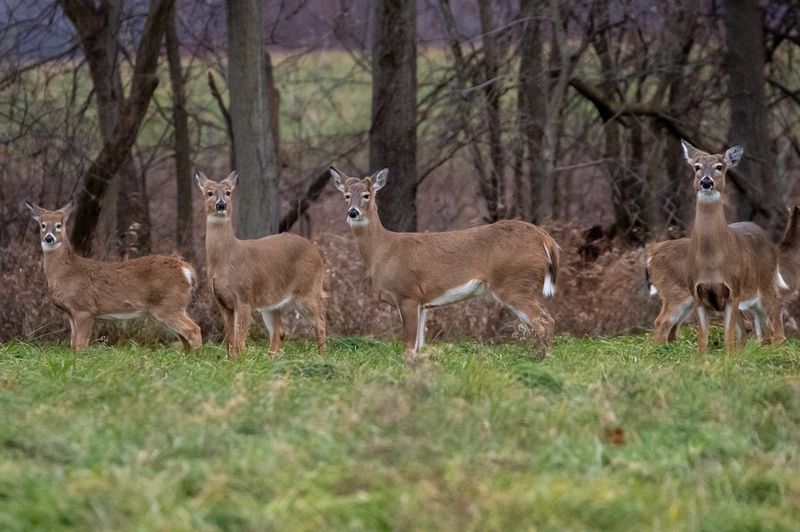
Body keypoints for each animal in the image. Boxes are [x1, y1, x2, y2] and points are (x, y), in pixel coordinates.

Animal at [25, 201, 202, 351]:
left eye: (59, 225)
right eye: (42, 225)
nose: (49, 238)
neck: (66, 272)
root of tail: (186, 270)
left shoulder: (85, 309)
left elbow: (80, 344)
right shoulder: (71, 313)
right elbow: (73, 344)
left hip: (169, 305)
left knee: (193, 329)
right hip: (169, 308)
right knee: (184, 336)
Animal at [196, 171, 326, 357]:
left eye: (228, 192)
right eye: (209, 192)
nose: (221, 205)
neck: (227, 259)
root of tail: (315, 250)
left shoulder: (244, 297)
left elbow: (239, 339)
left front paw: (240, 359)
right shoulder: (222, 302)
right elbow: (229, 338)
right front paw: (230, 360)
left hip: (308, 289)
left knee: (320, 322)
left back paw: (321, 356)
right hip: (273, 302)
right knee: (279, 332)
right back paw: (271, 358)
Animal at [330, 166, 560, 362]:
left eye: (366, 195)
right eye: (347, 195)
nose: (353, 212)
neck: (383, 250)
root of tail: (547, 240)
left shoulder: (407, 293)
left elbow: (408, 347)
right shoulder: (422, 302)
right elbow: (418, 346)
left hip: (515, 283)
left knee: (544, 321)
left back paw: (542, 361)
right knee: (538, 324)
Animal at [647, 206, 800, 343]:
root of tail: (654, 252)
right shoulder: (773, 298)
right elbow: (774, 333)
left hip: (687, 300)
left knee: (672, 328)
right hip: (675, 293)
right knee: (662, 322)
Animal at [681, 140, 786, 353]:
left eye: (719, 167)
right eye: (697, 167)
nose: (706, 182)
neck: (711, 261)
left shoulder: (734, 291)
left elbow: (728, 338)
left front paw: (728, 359)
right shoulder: (697, 294)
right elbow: (703, 340)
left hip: (767, 285)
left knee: (777, 324)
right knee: (757, 332)